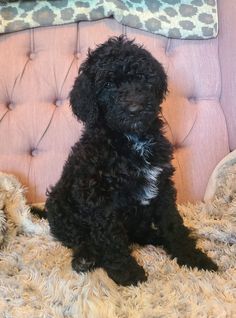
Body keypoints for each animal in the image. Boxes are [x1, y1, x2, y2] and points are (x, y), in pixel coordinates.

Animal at [34, 35, 218, 286]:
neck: (132, 140)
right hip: (60, 203)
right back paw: (85, 257)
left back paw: (154, 237)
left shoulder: (162, 186)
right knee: (78, 237)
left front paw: (193, 258)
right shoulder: (100, 197)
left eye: (141, 78)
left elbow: (173, 224)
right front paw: (127, 272)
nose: (135, 108)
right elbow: (110, 237)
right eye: (108, 85)